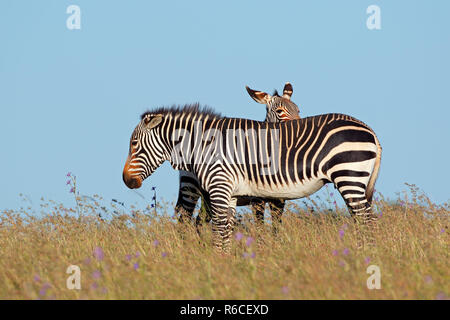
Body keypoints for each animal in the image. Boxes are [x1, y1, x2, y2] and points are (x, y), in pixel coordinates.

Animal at [124, 105, 384, 252]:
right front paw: (225, 263)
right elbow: (226, 229)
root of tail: (369, 130)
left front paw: (217, 261)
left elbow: (219, 228)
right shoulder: (228, 193)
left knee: (367, 221)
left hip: (349, 176)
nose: (127, 181)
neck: (202, 145)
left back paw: (367, 257)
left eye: (134, 144)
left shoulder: (219, 187)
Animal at [174, 82, 300, 234]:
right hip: (190, 187)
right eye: (280, 111)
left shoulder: (280, 199)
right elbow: (260, 227)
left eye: (298, 110)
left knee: (199, 221)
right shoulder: (257, 199)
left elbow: (276, 227)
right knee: (184, 220)